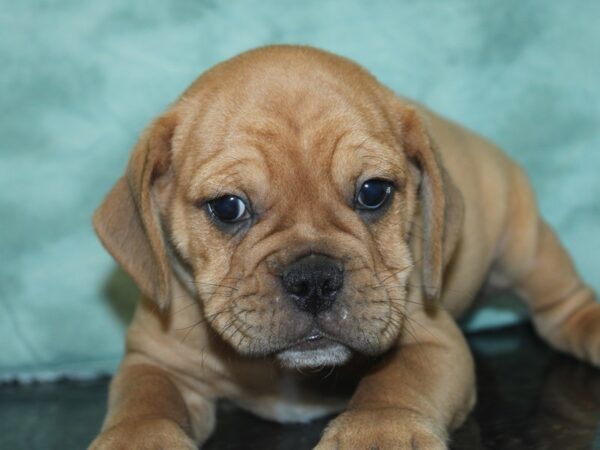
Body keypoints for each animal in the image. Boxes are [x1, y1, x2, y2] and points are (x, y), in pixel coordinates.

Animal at [89, 44, 600, 448]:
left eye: (373, 192)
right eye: (228, 207)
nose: (314, 280)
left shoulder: (433, 339)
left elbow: (395, 384)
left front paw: (378, 432)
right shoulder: (154, 361)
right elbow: (144, 406)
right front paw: (136, 440)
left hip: (523, 247)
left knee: (559, 304)